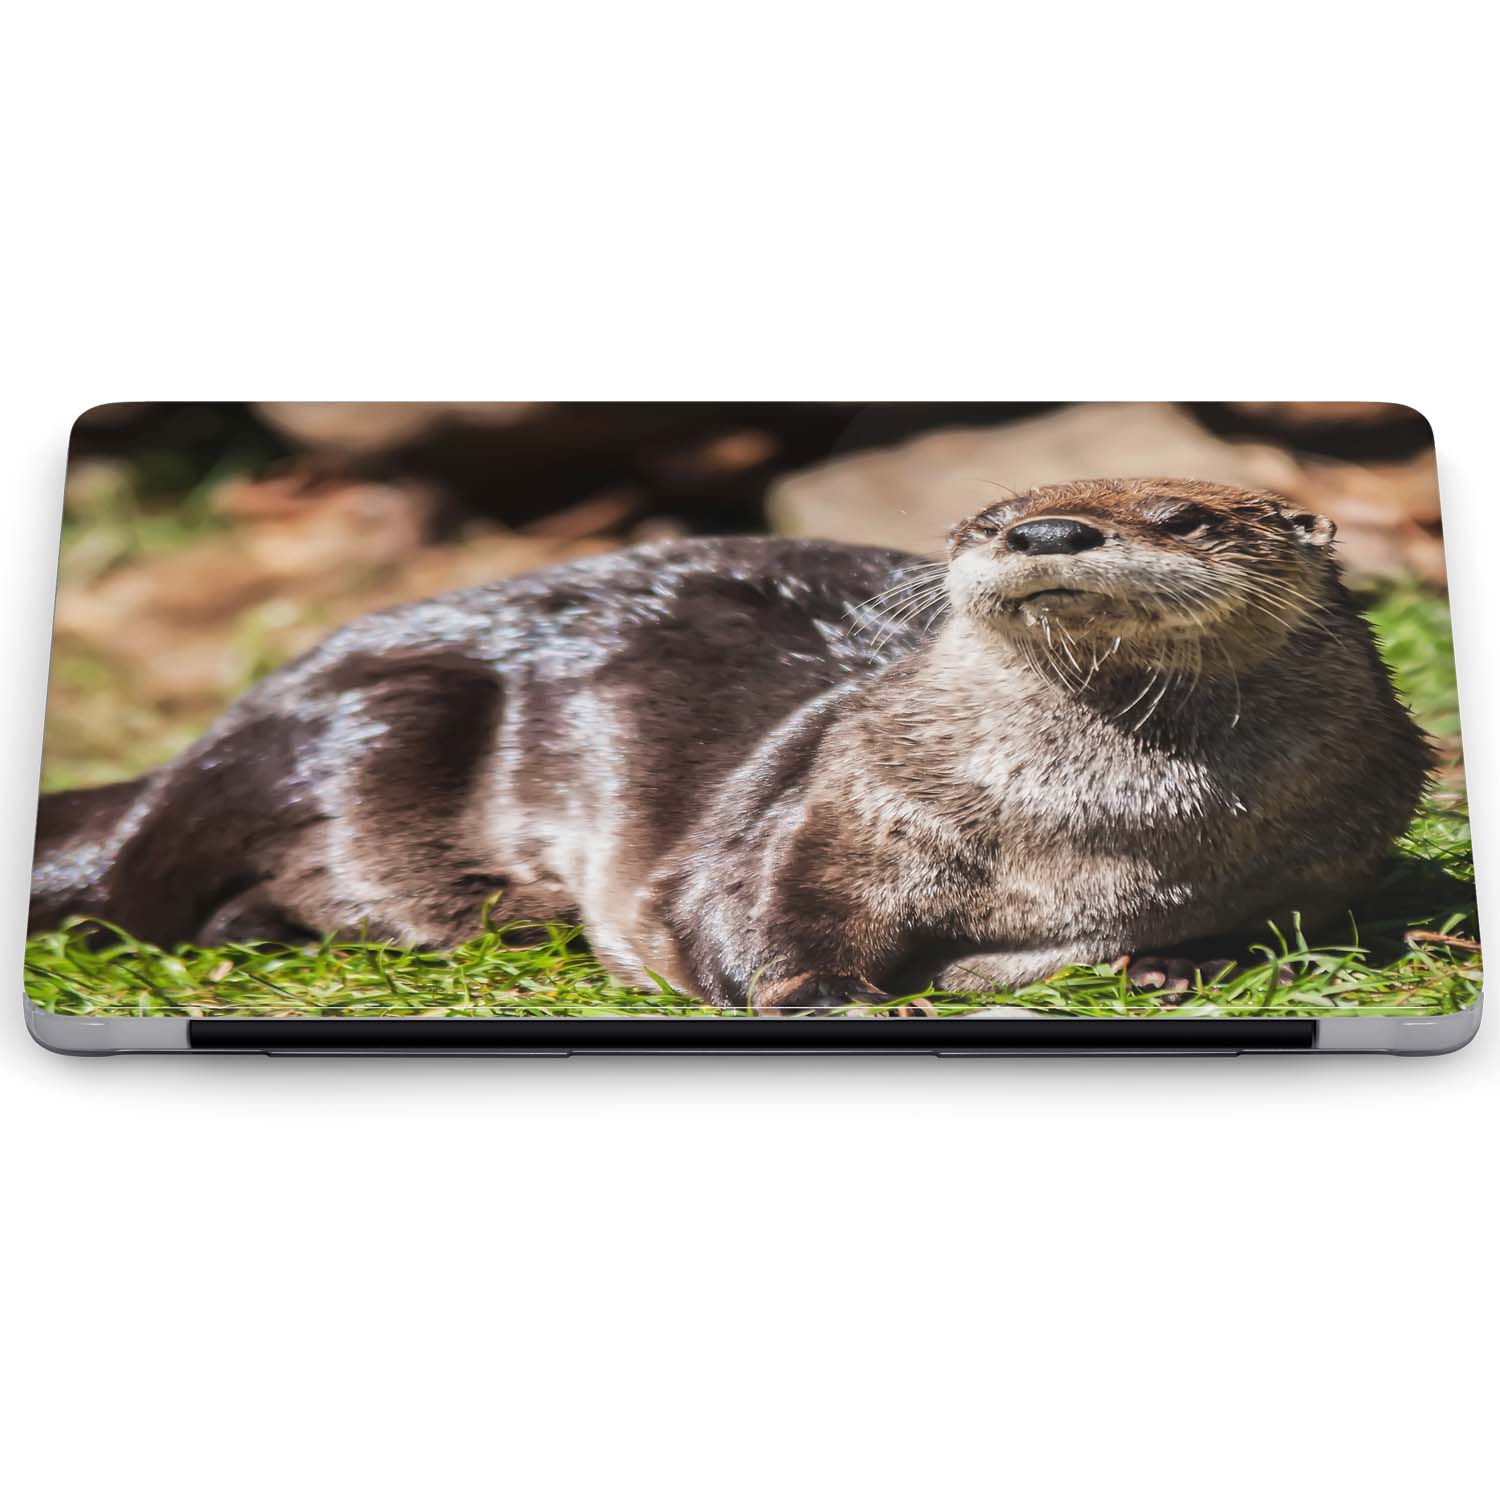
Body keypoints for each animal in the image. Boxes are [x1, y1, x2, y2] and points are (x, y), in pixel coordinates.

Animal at [31, 478, 1432, 1012]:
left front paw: (1162, 966)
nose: (1042, 534)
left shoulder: (1321, 858)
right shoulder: (834, 801)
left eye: (1180, 515)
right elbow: (747, 911)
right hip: (375, 719)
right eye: (989, 517)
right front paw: (821, 993)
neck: (1082, 835)